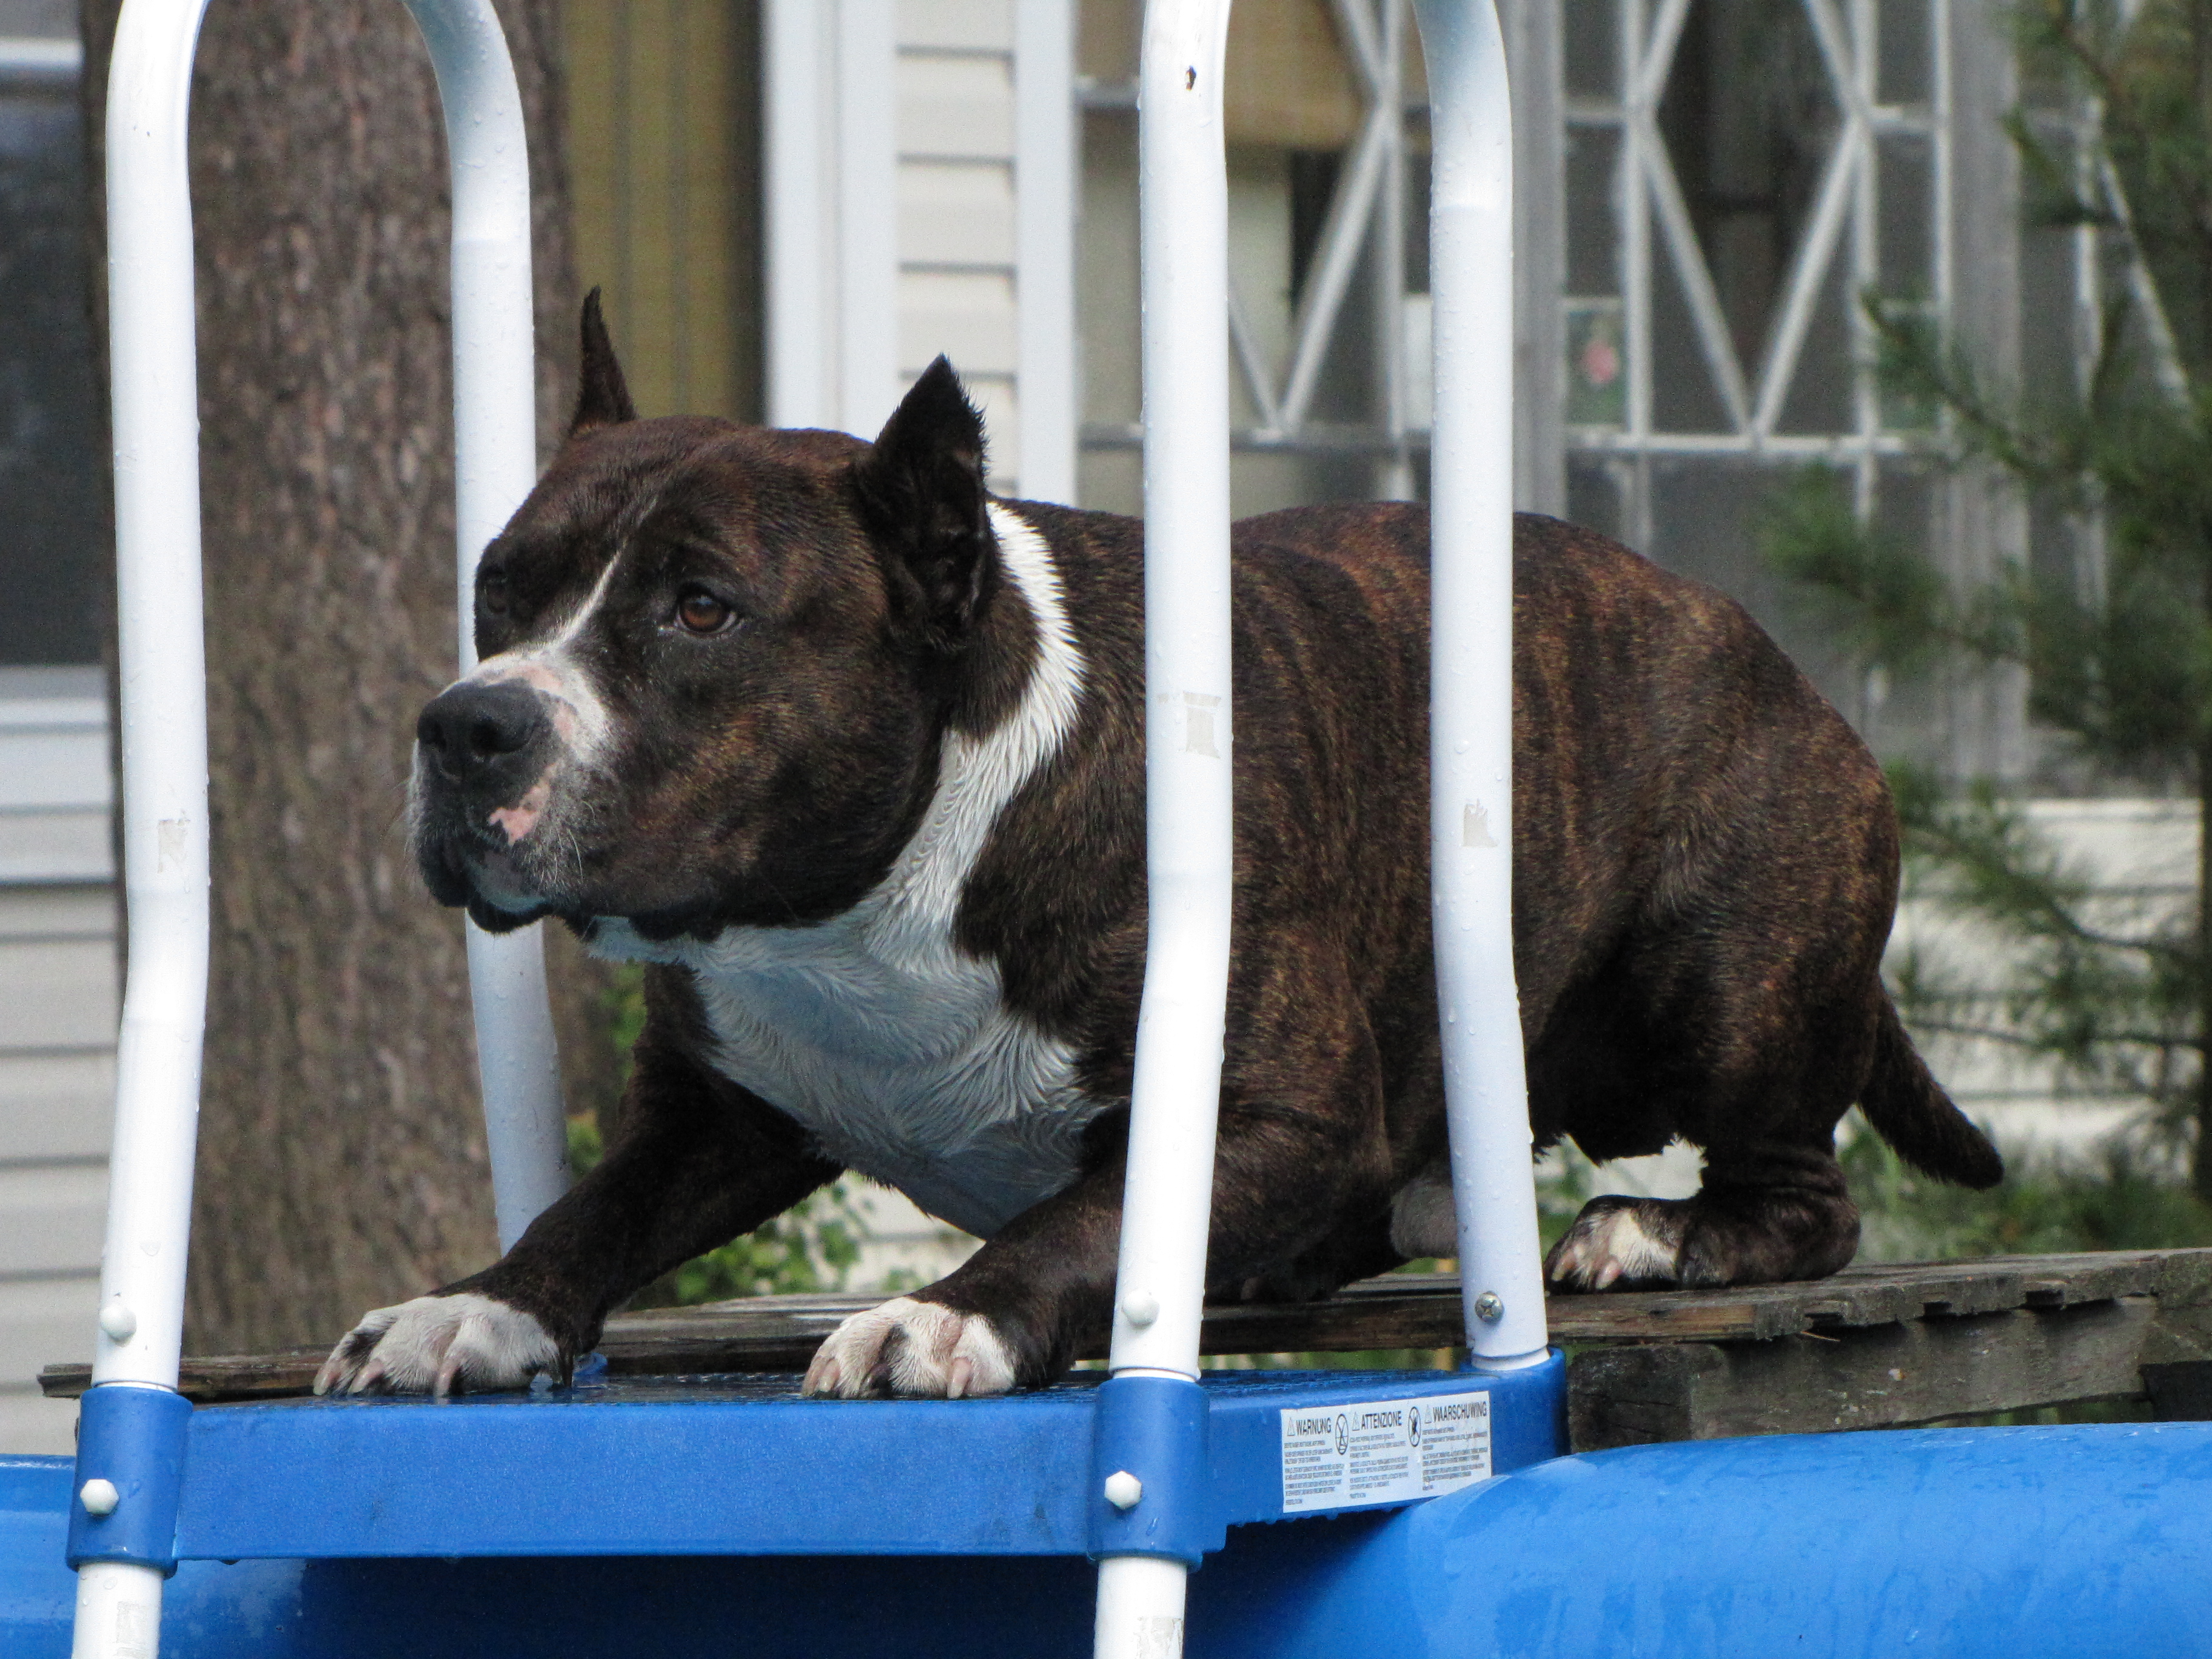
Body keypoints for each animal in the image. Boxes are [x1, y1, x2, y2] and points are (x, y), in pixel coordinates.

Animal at [316, 298, 2008, 1407]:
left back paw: (1656, 1231)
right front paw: (471, 1307)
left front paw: (950, 1317)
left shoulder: (1280, 1112)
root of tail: (1789, 671)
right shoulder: (714, 1111)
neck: (851, 922)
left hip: (1718, 966)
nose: (468, 724)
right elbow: (590, 1212)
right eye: (499, 591)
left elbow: (1093, 1211)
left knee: (1807, 1192)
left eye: (700, 609)